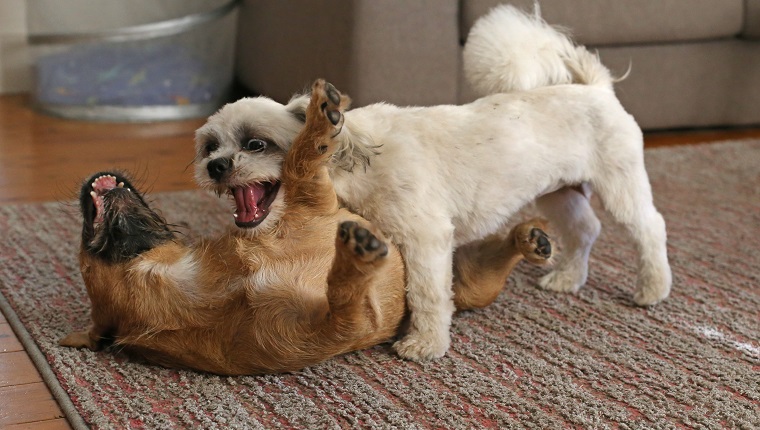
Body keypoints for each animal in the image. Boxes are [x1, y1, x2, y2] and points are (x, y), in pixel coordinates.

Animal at [59, 80, 552, 372]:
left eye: (255, 144)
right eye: (209, 147)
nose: (216, 166)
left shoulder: (354, 214)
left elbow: (302, 159)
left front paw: (323, 113)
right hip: (468, 276)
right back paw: (530, 240)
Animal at [194, 5, 672, 362]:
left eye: (256, 144)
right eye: (209, 147)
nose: (216, 166)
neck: (357, 159)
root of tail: (596, 88)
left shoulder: (425, 238)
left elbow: (427, 294)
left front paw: (424, 344)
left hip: (620, 183)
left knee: (651, 228)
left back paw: (653, 288)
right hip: (559, 193)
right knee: (586, 229)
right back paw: (569, 278)